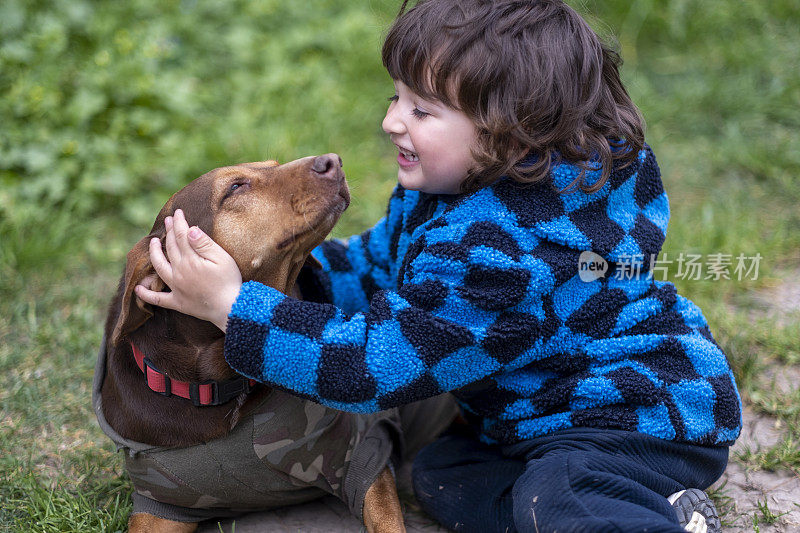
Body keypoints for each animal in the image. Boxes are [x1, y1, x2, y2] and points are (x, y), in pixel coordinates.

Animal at [95, 155, 406, 532]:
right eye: (235, 187)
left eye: (273, 163)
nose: (332, 160)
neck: (220, 386)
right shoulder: (159, 504)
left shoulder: (362, 455)